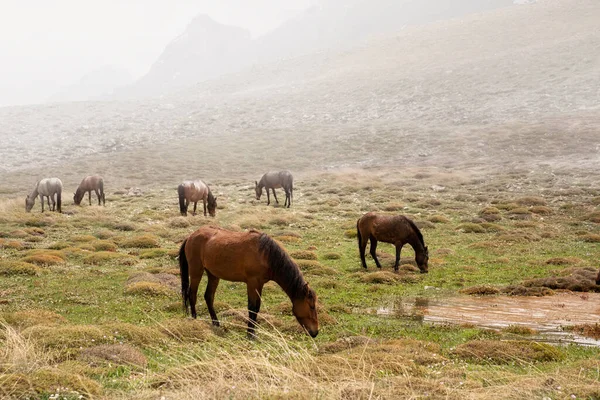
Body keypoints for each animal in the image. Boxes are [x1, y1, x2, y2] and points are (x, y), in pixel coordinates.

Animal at [178, 225, 318, 338]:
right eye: (311, 306)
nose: (315, 332)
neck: (265, 255)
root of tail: (191, 236)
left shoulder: (259, 284)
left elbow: (257, 308)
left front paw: (253, 332)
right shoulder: (252, 283)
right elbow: (252, 307)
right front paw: (250, 334)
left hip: (213, 275)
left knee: (208, 296)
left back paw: (216, 323)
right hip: (196, 271)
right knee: (192, 294)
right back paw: (194, 319)